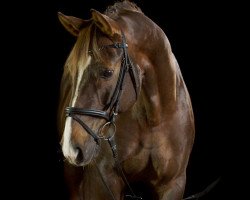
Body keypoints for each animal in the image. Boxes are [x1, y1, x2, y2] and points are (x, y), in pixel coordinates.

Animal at [57, 0, 195, 199]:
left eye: (107, 72)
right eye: (70, 70)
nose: (71, 148)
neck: (154, 120)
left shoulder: (173, 184)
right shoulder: (102, 182)